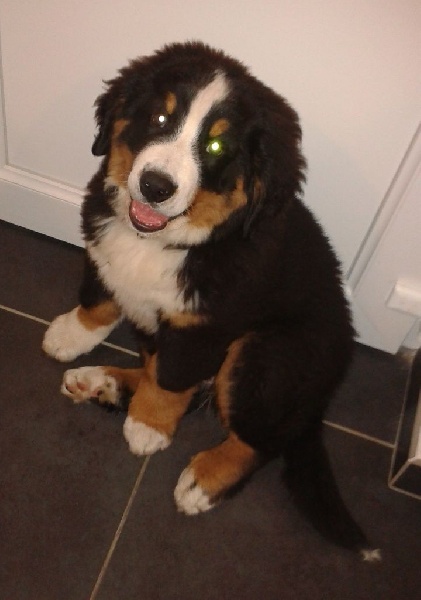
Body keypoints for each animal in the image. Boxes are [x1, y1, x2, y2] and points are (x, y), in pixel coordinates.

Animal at [43, 41, 380, 560]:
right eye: (160, 118)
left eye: (217, 147)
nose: (155, 186)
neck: (166, 242)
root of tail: (319, 399)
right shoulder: (101, 245)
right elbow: (99, 296)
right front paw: (71, 333)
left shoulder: (205, 324)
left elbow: (171, 380)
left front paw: (149, 427)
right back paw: (100, 381)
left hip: (268, 354)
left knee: (260, 439)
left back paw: (204, 478)